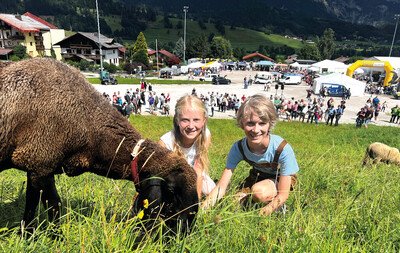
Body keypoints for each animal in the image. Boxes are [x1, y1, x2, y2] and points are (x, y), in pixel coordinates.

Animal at [0, 58, 198, 236]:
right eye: (171, 190)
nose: (185, 233)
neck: (88, 120)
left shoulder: (34, 167)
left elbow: (31, 205)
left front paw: (26, 235)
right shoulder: (40, 162)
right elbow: (54, 206)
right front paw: (56, 237)